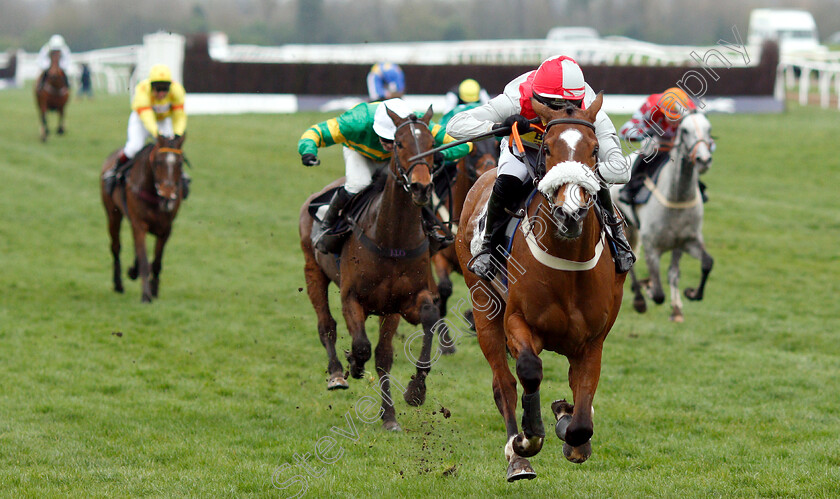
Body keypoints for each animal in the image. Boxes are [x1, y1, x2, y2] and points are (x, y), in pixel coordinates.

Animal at [100, 135, 187, 302]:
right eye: (158, 162)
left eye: (180, 163)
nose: (167, 195)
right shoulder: (139, 224)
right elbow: (145, 260)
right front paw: (146, 296)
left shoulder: (166, 228)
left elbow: (157, 262)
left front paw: (154, 291)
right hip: (113, 214)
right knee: (116, 247)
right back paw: (118, 284)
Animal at [302, 106, 446, 434]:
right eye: (400, 144)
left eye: (432, 143)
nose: (421, 187)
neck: (392, 238)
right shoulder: (351, 297)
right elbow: (362, 346)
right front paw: (354, 364)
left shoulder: (399, 303)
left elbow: (388, 351)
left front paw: (408, 398)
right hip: (313, 269)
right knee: (325, 325)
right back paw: (337, 373)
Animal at [456, 93, 628, 480]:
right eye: (547, 148)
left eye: (595, 150)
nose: (569, 213)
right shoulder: (517, 322)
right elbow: (529, 371)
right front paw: (528, 438)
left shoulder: (593, 341)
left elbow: (582, 410)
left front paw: (568, 422)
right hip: (483, 305)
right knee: (503, 383)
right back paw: (517, 458)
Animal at [612, 111, 716, 322]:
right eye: (685, 131)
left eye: (709, 129)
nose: (703, 160)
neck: (676, 198)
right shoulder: (652, 247)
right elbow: (659, 294)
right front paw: (649, 289)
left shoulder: (686, 242)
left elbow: (704, 264)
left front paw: (690, 296)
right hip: (624, 227)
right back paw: (639, 298)